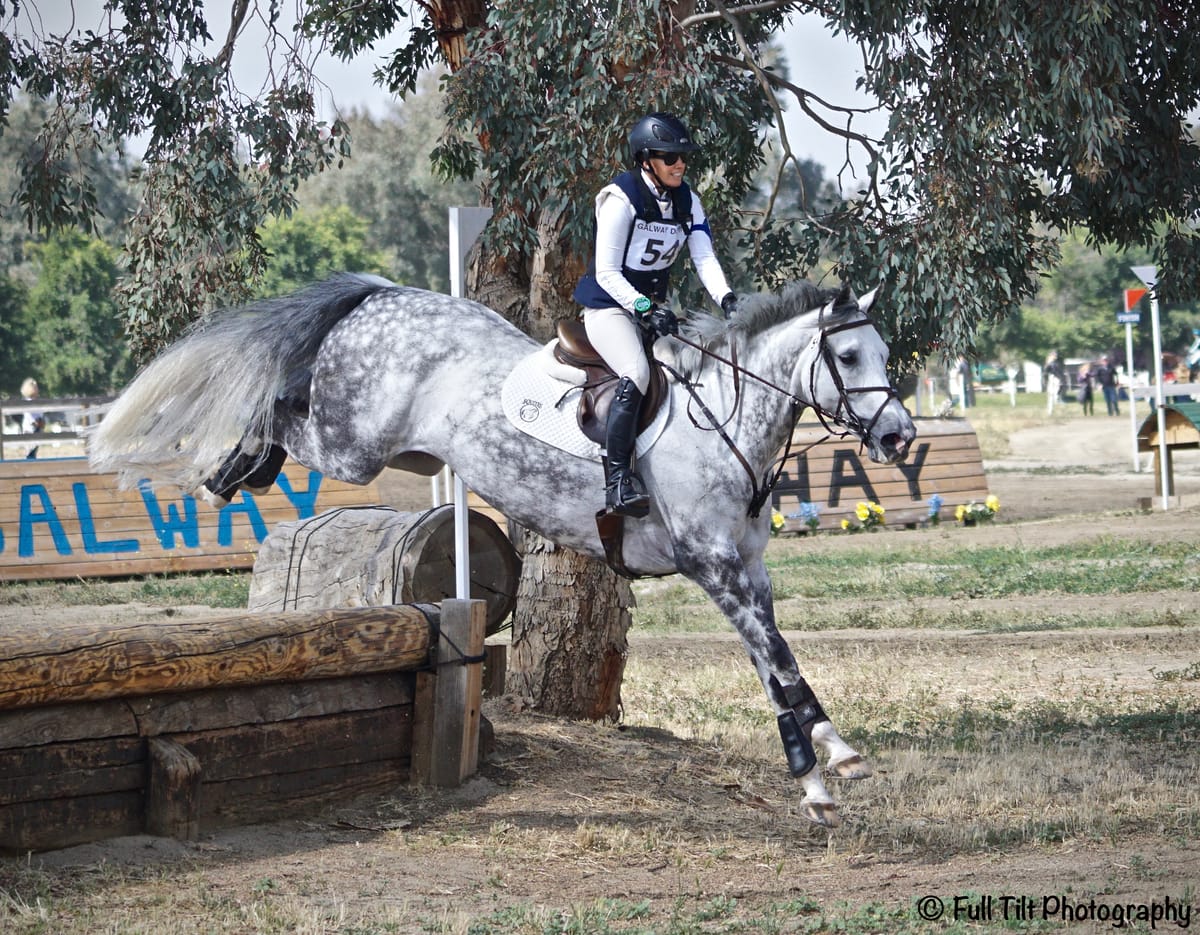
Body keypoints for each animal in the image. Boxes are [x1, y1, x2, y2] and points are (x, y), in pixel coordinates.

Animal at [89, 274, 917, 827]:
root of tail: (385, 291)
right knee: (284, 410)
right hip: (353, 443)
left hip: (398, 450)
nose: (899, 436)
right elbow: (781, 660)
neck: (726, 422)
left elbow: (773, 666)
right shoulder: (712, 566)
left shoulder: (746, 572)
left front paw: (814, 780)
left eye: (884, 350)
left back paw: (239, 472)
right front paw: (838, 756)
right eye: (847, 356)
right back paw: (226, 470)